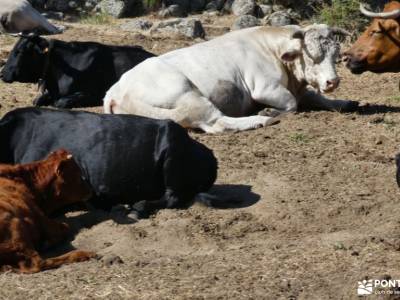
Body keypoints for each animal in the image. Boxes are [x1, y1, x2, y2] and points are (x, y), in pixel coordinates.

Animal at [104, 25, 360, 133]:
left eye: (336, 55)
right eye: (312, 56)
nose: (333, 82)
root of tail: (114, 90)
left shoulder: (299, 87)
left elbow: (317, 98)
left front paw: (346, 102)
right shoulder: (265, 88)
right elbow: (292, 104)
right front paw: (270, 111)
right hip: (188, 95)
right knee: (217, 123)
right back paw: (261, 119)